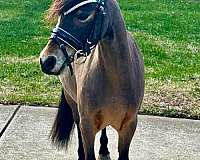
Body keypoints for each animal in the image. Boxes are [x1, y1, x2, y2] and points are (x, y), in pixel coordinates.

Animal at [39, 0, 144, 159]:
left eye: (83, 16)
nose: (46, 60)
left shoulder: (129, 126)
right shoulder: (87, 126)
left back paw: (104, 148)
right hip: (73, 104)